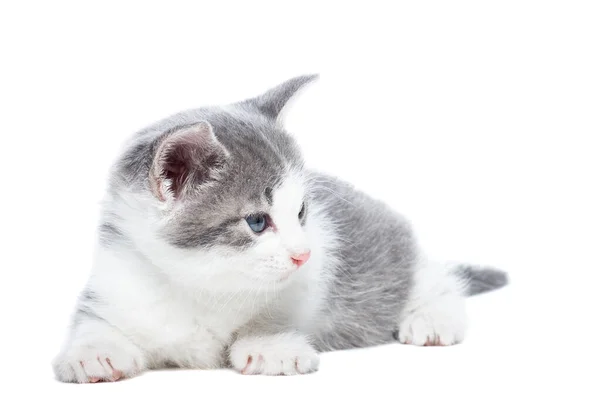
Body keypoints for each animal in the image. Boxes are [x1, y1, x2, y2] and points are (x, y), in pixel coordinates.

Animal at [54, 73, 508, 382]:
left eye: (302, 211)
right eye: (257, 222)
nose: (302, 253)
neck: (200, 284)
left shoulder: (311, 277)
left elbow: (280, 309)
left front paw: (269, 344)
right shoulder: (114, 280)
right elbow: (92, 322)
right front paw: (94, 351)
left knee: (434, 276)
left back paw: (433, 317)